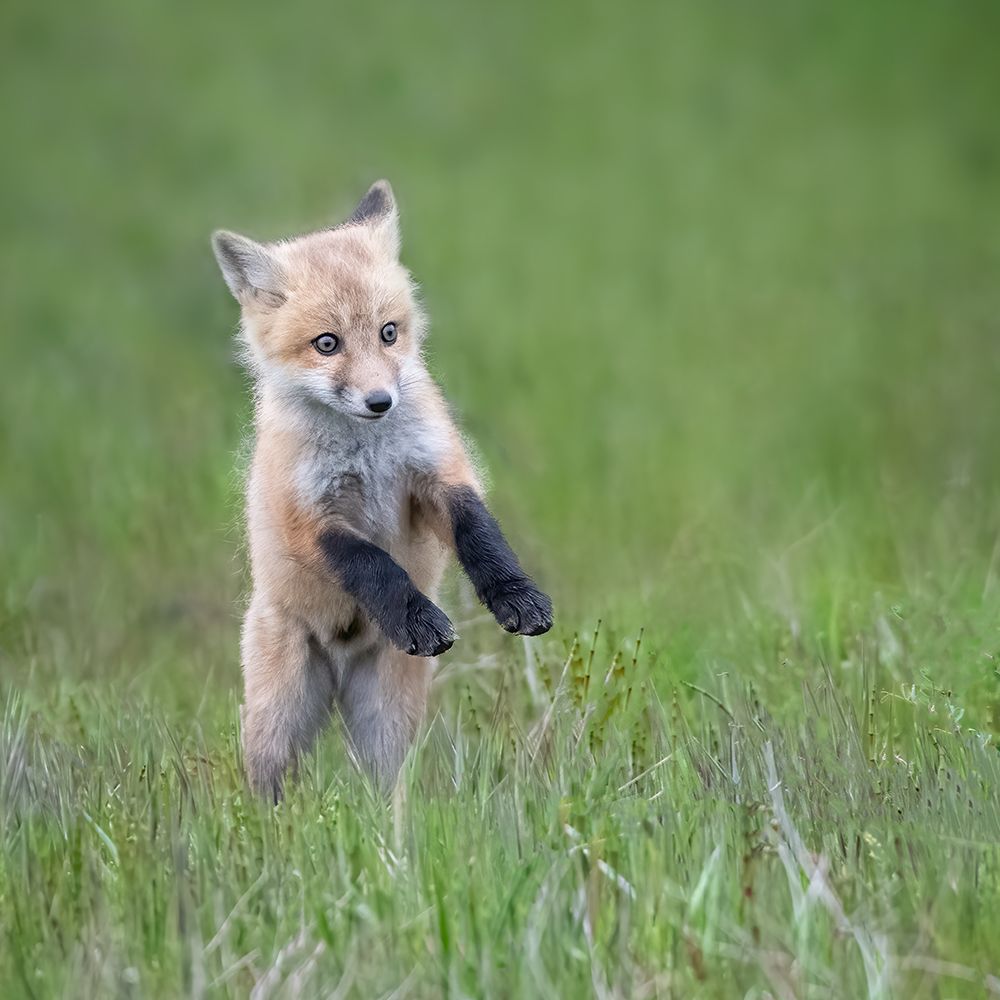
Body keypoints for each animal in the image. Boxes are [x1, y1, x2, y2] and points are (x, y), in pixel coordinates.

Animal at [211, 180, 552, 799]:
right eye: (327, 344)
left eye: (388, 333)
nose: (380, 402)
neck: (365, 450)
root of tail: (342, 665)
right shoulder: (307, 519)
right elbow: (372, 563)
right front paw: (415, 616)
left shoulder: (437, 475)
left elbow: (481, 535)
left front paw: (516, 596)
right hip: (279, 718)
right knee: (270, 783)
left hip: (387, 717)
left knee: (386, 787)